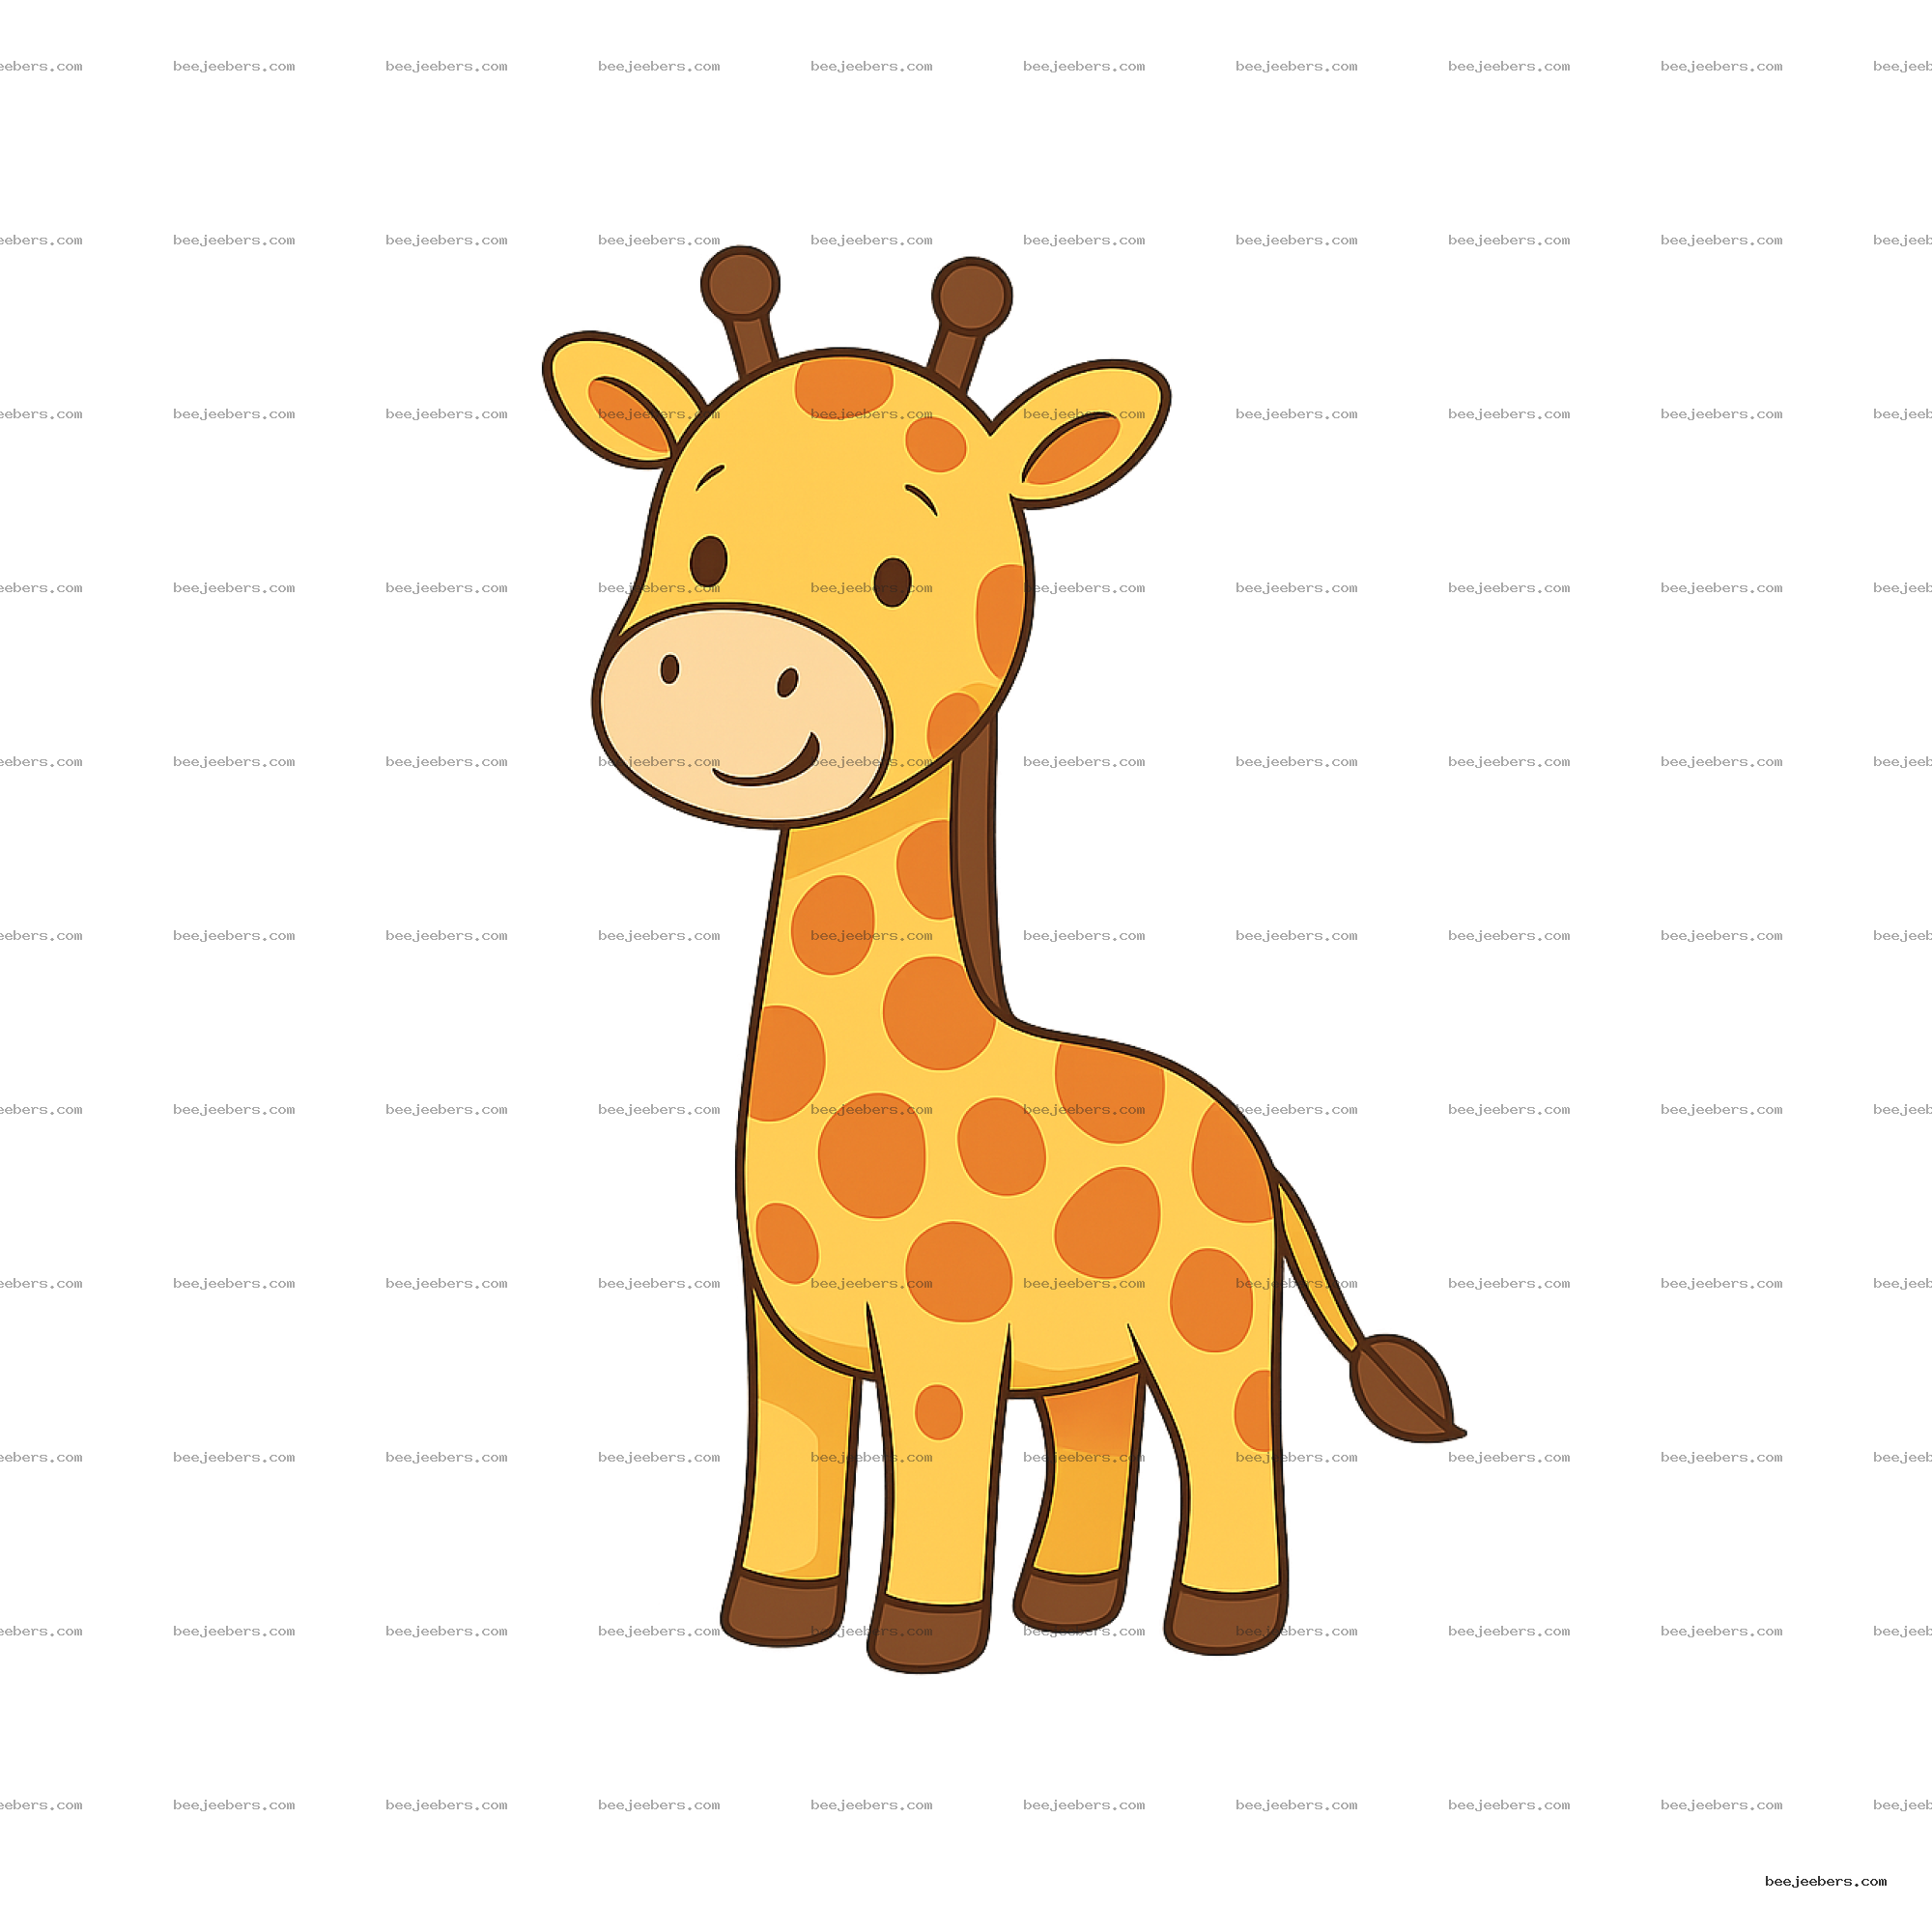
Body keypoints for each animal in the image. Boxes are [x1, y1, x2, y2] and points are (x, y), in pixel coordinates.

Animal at [543, 247, 1464, 1677]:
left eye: (896, 577)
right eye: (697, 550)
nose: (733, 667)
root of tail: (1246, 1137)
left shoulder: (948, 1326)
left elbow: (936, 1464)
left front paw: (922, 1638)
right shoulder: (785, 1334)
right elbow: (797, 1468)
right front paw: (772, 1618)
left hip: (1207, 1310)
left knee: (1229, 1435)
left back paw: (1219, 1620)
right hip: (1100, 1339)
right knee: (1099, 1427)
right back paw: (1066, 1604)